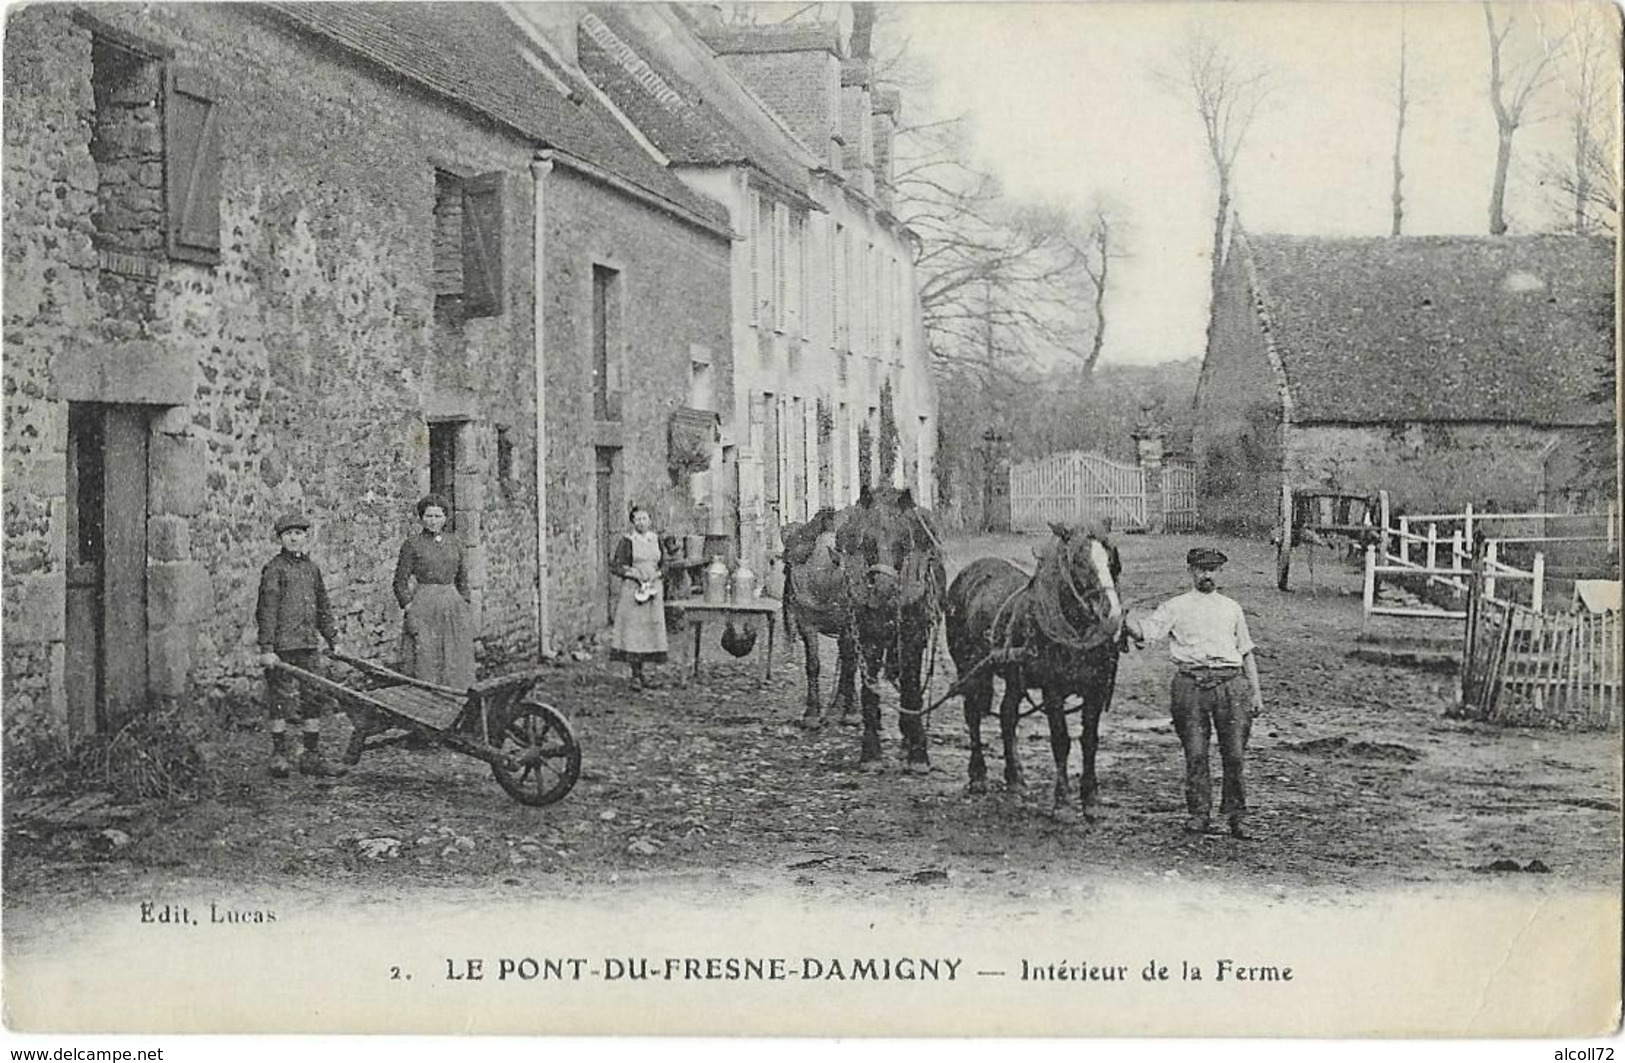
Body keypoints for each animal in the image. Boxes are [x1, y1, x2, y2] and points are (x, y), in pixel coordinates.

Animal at [780, 487, 949, 770]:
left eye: (905, 543)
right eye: (864, 542)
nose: (883, 590)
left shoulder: (910, 633)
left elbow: (910, 685)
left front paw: (916, 753)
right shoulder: (816, 623)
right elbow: (818, 666)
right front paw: (816, 716)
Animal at [949, 523, 1124, 815]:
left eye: (1112, 559)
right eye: (1077, 562)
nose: (1111, 615)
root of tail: (970, 571)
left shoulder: (1096, 690)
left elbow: (1089, 741)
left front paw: (1091, 798)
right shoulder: (1052, 690)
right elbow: (1061, 741)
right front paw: (1062, 801)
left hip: (1014, 677)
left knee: (1007, 715)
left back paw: (1015, 779)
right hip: (968, 668)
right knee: (972, 714)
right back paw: (978, 775)